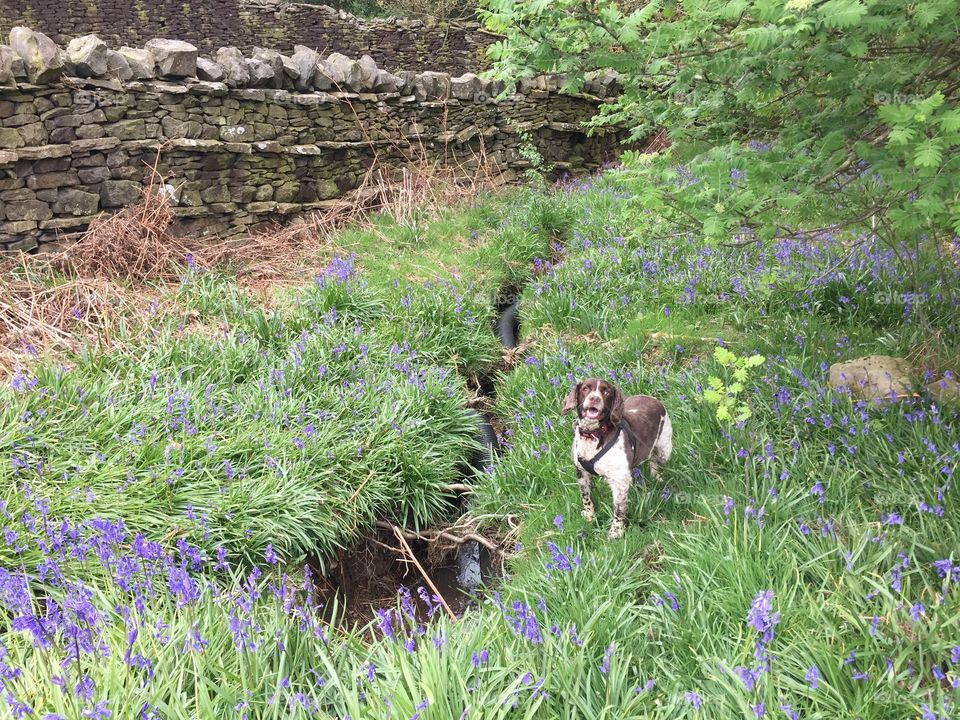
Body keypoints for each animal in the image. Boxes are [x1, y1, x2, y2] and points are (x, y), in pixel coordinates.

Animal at [560, 380, 672, 536]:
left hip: (664, 450)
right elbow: (586, 497)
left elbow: (619, 509)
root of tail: (652, 398)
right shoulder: (581, 472)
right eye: (585, 389)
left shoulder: (619, 482)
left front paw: (616, 532)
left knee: (655, 458)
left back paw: (657, 477)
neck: (593, 435)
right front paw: (589, 515)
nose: (594, 398)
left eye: (606, 392)